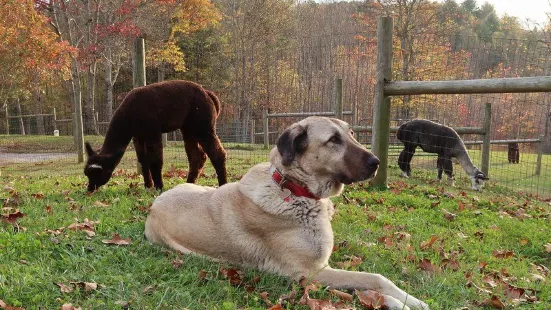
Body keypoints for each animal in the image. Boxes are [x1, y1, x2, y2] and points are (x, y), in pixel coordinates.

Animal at [146, 117, 432, 310]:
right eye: (333, 140)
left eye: (351, 134)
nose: (377, 162)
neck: (295, 189)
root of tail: (153, 207)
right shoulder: (308, 274)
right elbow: (372, 280)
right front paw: (401, 303)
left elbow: (374, 276)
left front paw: (411, 299)